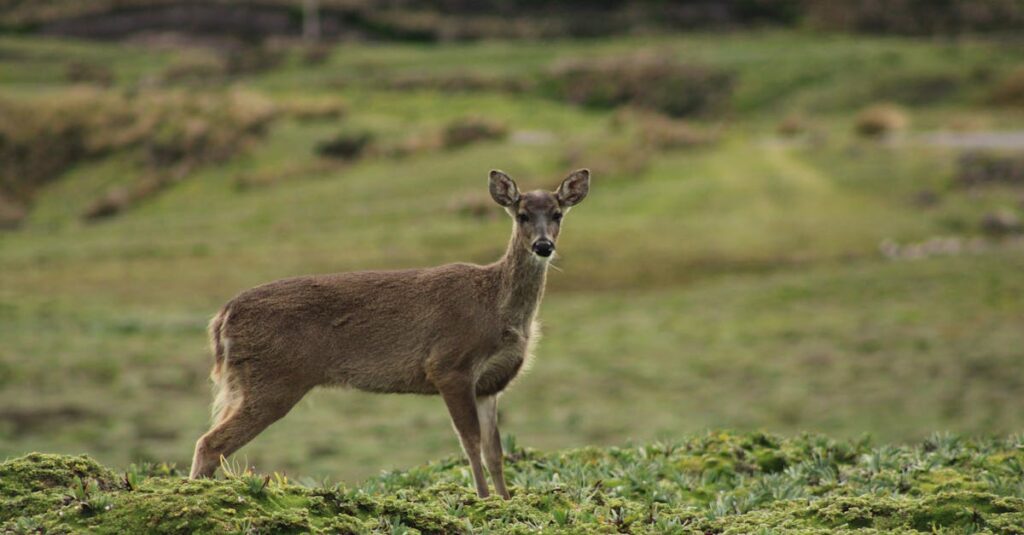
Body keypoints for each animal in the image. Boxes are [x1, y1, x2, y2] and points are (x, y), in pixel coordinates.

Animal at [189, 168, 591, 499]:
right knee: (209, 442)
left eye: (557, 214)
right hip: (272, 379)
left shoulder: (491, 384)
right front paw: (483, 499)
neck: (496, 307)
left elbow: (495, 451)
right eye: (522, 215)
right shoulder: (449, 365)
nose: (543, 245)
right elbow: (470, 442)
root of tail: (222, 317)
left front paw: (505, 501)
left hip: (246, 383)